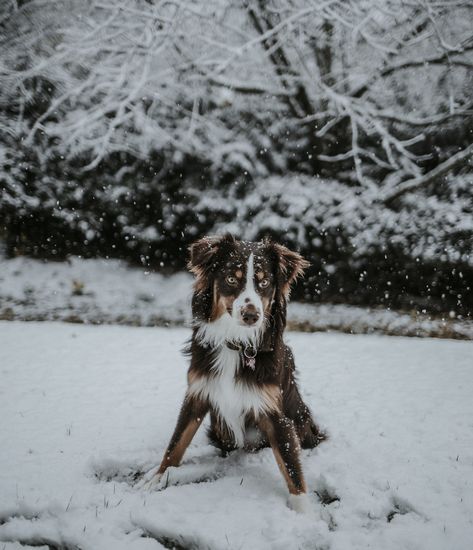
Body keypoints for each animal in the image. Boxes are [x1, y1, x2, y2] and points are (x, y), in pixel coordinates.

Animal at [147, 236, 324, 512]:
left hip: (300, 418)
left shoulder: (276, 412)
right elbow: (176, 443)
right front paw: (157, 478)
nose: (251, 315)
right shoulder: (197, 393)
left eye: (264, 282)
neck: (237, 344)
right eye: (232, 279)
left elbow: (291, 464)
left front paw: (303, 509)